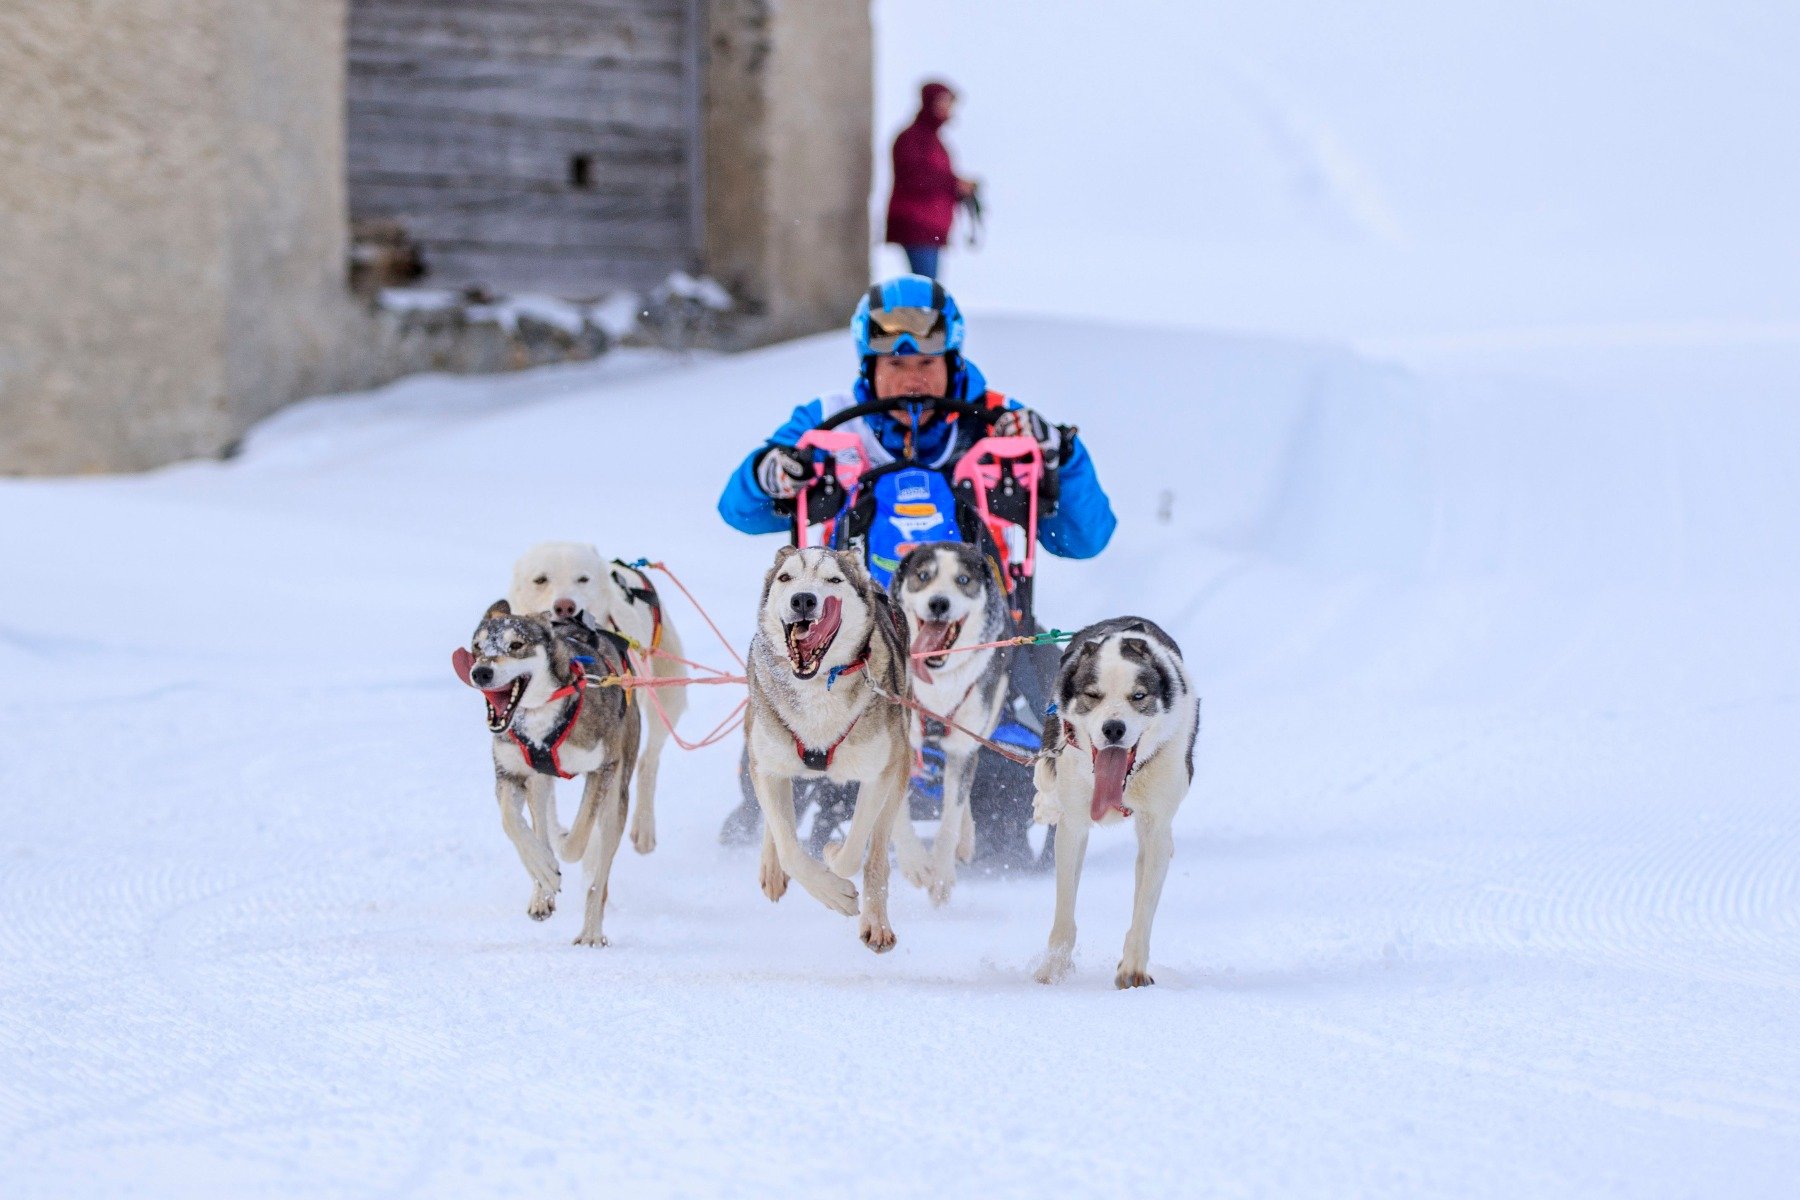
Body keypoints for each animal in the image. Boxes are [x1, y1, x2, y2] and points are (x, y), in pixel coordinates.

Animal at [460, 600, 644, 949]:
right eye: (477, 647)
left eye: (516, 645)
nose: (480, 672)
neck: (539, 714)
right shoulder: (510, 774)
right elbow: (513, 824)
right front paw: (544, 871)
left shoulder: (602, 770)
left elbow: (578, 840)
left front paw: (563, 851)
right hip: (539, 781)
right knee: (540, 821)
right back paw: (541, 892)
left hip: (618, 790)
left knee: (598, 874)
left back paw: (590, 932)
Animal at [507, 543, 687, 852]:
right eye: (540, 579)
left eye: (583, 579)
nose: (565, 606)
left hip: (667, 697)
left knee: (648, 761)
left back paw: (644, 826)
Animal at [745, 550, 914, 949]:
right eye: (787, 578)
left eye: (834, 580)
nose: (804, 600)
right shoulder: (764, 763)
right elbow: (789, 847)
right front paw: (831, 891)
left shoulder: (881, 773)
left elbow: (854, 855)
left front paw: (834, 857)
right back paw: (771, 867)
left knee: (878, 850)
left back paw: (876, 922)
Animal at [885, 543, 1015, 899]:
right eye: (923, 576)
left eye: (963, 580)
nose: (939, 603)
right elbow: (896, 809)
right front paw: (914, 862)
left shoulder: (963, 744)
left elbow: (951, 816)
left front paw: (941, 873)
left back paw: (965, 839)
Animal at [1036, 615, 1202, 993]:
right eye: (1093, 696)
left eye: (1138, 696)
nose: (1113, 728)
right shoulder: (1073, 827)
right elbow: (1064, 911)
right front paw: (1053, 969)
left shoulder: (1155, 828)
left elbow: (1143, 908)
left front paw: (1133, 969)